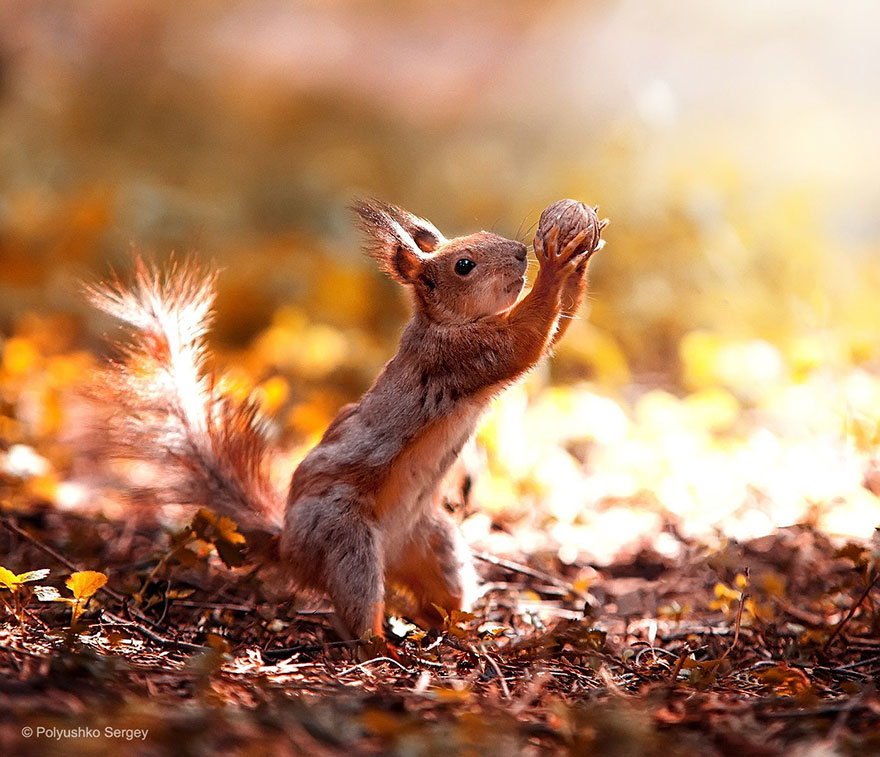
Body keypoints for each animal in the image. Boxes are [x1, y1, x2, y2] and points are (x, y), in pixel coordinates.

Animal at [89, 198, 604, 636]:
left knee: (440, 594)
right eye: (464, 265)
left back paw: (459, 630)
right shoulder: (460, 357)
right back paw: (381, 645)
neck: (444, 323)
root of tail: (289, 548)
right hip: (346, 541)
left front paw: (578, 256)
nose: (520, 252)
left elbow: (553, 333)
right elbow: (527, 340)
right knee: (359, 608)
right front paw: (557, 263)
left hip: (434, 542)